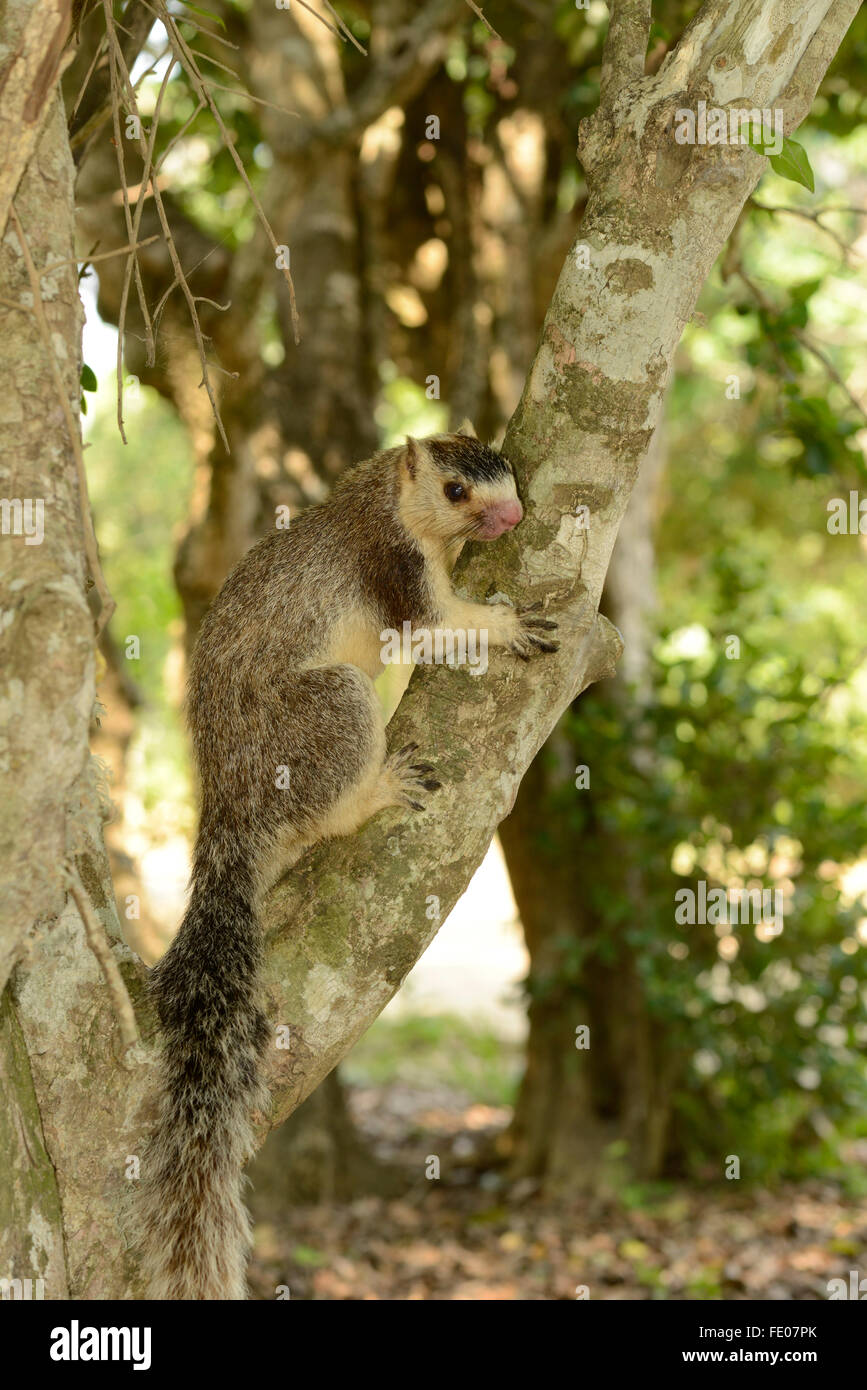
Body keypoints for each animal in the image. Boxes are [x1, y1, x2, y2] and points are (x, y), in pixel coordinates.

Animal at [138, 425, 558, 1301]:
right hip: (323, 714)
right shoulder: (390, 567)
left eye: (502, 465)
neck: (385, 498)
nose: (511, 516)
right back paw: (377, 790)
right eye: (456, 490)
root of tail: (230, 818)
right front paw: (503, 625)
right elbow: (433, 628)